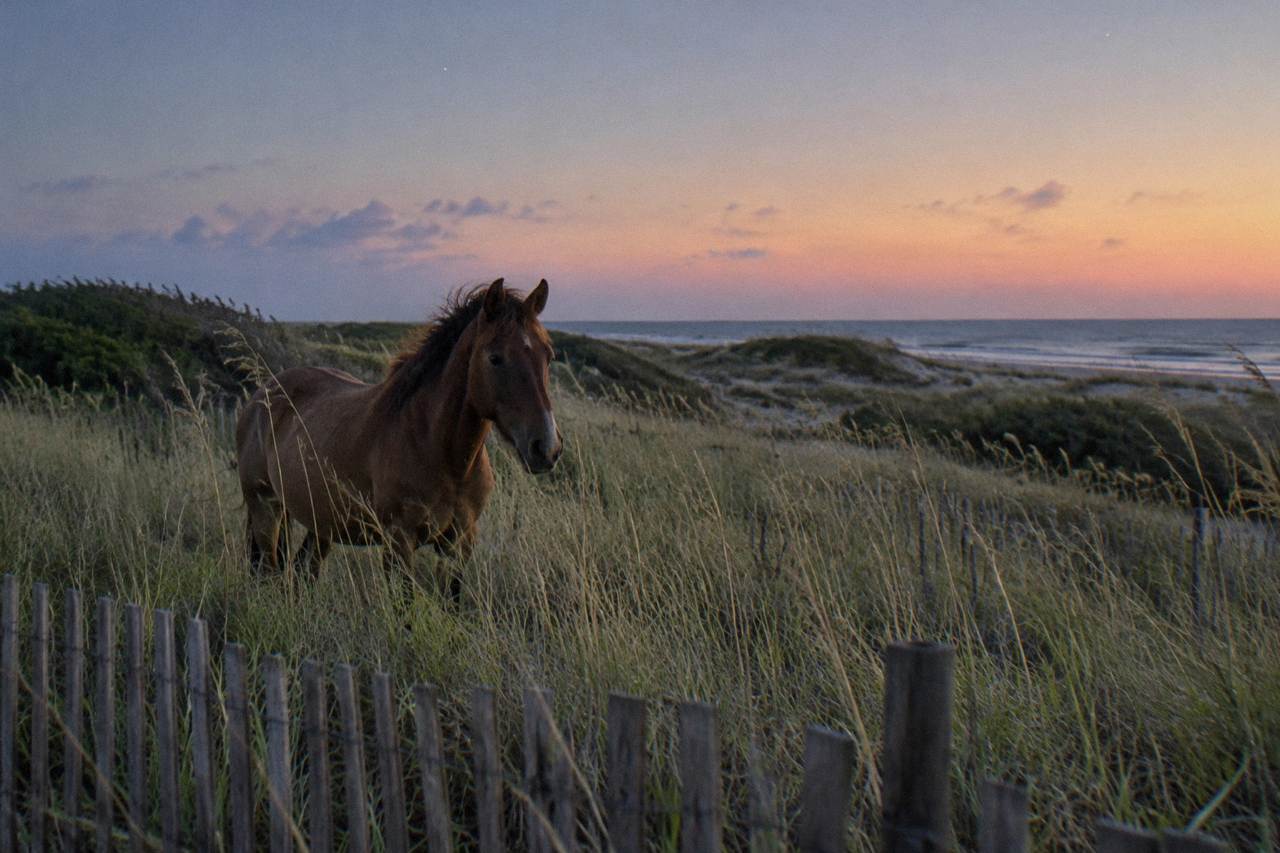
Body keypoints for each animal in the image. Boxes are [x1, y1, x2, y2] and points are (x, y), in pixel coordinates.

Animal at [235, 278, 562, 592]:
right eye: (495, 358)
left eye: (548, 355)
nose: (546, 448)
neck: (440, 451)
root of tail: (263, 394)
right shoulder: (399, 543)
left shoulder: (460, 544)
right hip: (266, 508)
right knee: (269, 572)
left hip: (321, 523)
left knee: (304, 571)